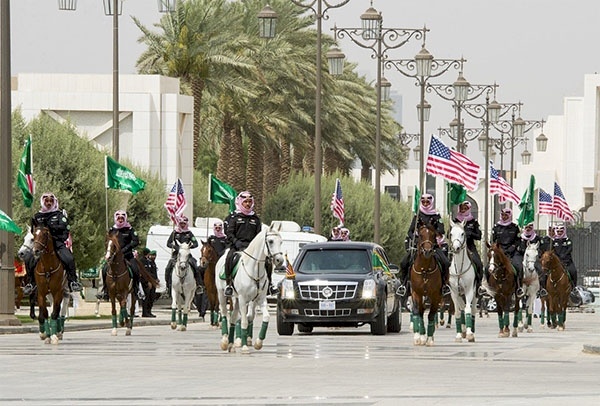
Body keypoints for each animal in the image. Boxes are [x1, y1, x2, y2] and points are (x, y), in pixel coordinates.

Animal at [216, 224, 286, 354]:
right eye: (270, 241)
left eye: (281, 242)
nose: (280, 260)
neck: (254, 269)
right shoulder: (243, 299)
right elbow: (244, 321)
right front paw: (244, 346)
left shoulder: (260, 299)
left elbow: (265, 317)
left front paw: (258, 343)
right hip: (223, 295)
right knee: (224, 313)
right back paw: (224, 341)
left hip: (237, 299)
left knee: (233, 318)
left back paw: (231, 345)